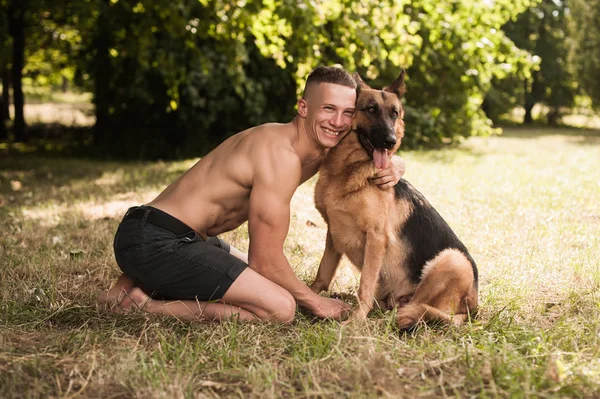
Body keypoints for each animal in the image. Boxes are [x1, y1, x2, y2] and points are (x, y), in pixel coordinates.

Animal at [312, 72, 480, 332]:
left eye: (394, 113)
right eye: (370, 109)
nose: (390, 141)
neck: (347, 172)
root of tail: (474, 308)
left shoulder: (376, 238)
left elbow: (365, 286)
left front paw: (355, 322)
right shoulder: (333, 234)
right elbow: (323, 274)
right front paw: (309, 295)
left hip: (453, 260)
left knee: (410, 310)